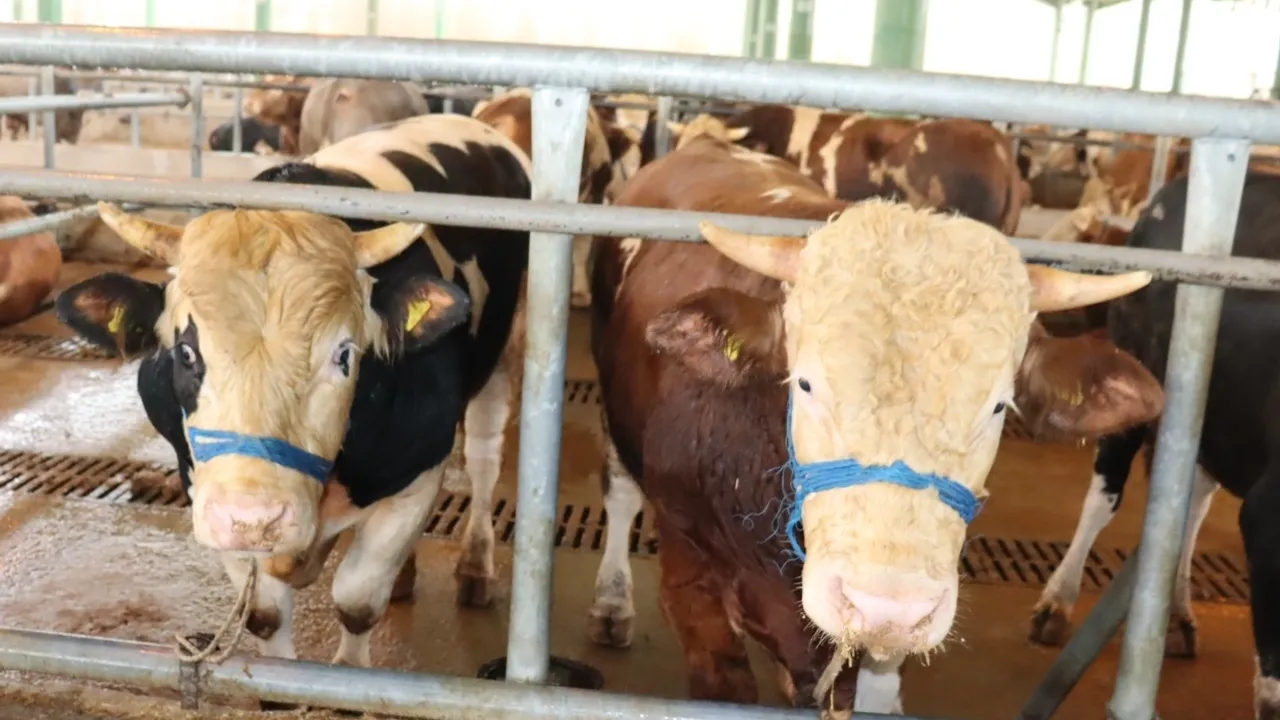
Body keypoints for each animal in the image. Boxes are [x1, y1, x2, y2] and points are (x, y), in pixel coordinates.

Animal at [52, 113, 532, 674]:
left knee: (484, 458)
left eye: (345, 354)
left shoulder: (420, 473)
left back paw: (476, 566)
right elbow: (265, 615)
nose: (256, 518)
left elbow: (356, 600)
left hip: (507, 349)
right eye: (186, 353)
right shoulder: (206, 490)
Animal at [586, 134, 1160, 715]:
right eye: (805, 383)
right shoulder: (693, 588)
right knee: (620, 492)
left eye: (999, 406)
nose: (888, 609)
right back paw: (612, 603)